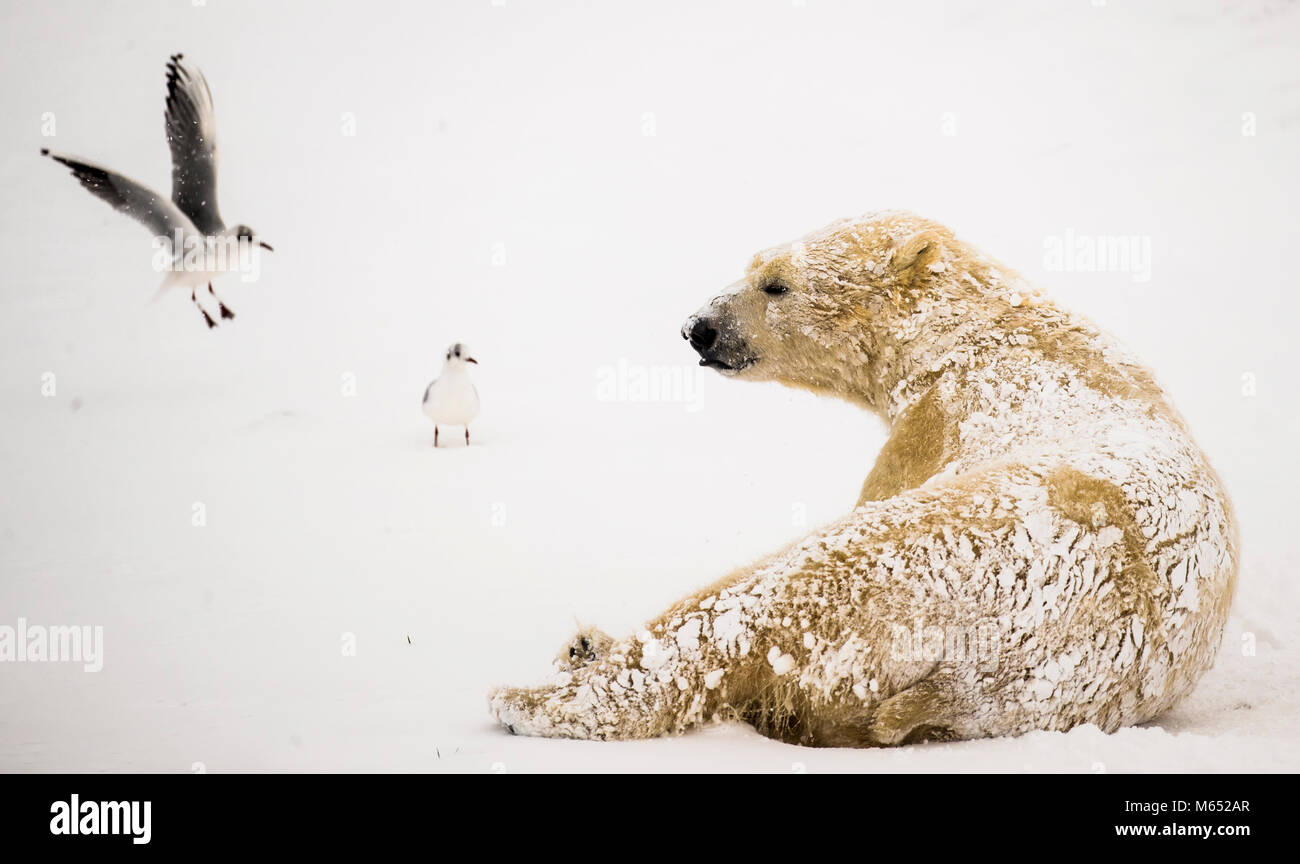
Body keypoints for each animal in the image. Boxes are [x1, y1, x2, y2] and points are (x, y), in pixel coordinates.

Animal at [488, 211, 1237, 743]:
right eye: (752, 264)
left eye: (776, 283)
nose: (697, 328)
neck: (974, 330)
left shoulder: (940, 419)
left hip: (915, 568)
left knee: (754, 601)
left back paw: (539, 691)